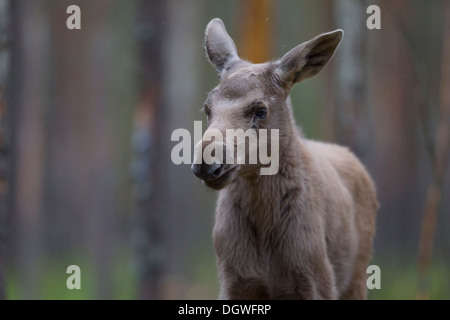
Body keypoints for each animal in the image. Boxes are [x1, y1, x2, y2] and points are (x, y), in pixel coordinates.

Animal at [192, 18, 378, 300]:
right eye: (207, 108)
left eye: (260, 109)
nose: (206, 162)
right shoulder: (233, 281)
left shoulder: (318, 280)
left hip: (356, 278)